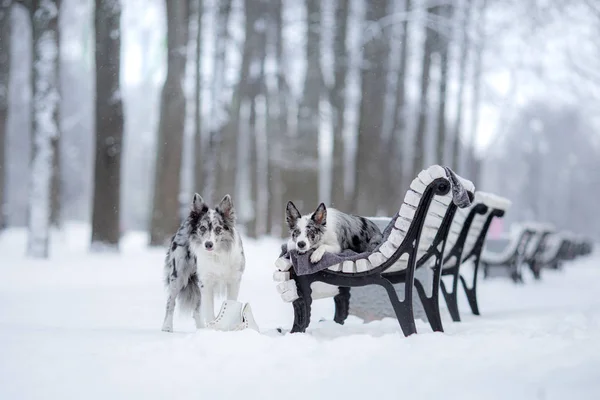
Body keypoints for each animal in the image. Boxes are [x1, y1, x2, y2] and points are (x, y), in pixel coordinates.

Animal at [161, 194, 245, 332]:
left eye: (218, 229)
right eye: (202, 228)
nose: (208, 244)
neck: (217, 255)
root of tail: (185, 223)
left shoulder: (234, 280)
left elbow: (231, 304)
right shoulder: (206, 282)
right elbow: (209, 311)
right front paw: (212, 331)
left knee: (196, 310)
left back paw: (201, 328)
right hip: (178, 276)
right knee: (170, 301)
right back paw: (167, 327)